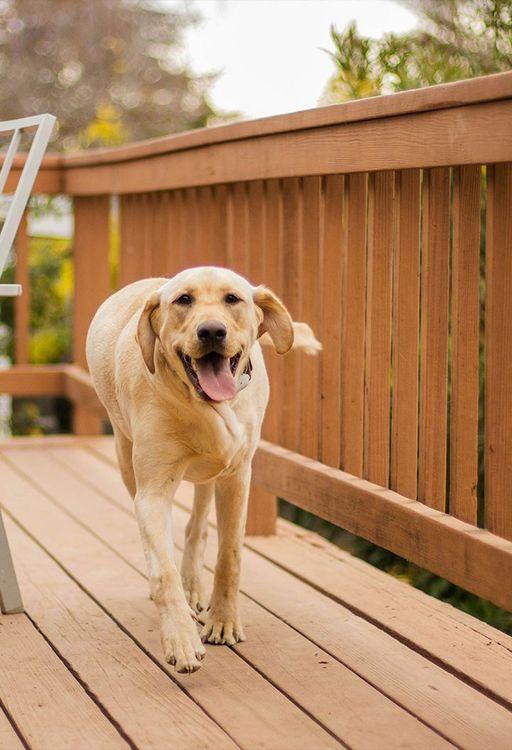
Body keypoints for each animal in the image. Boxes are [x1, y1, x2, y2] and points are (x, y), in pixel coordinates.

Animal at [88, 268, 320, 676]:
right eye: (183, 299)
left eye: (232, 299)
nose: (212, 331)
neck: (205, 406)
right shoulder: (152, 491)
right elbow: (163, 570)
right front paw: (181, 639)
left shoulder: (237, 476)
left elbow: (230, 556)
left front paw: (224, 621)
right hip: (125, 455)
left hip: (214, 471)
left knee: (197, 525)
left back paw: (194, 583)